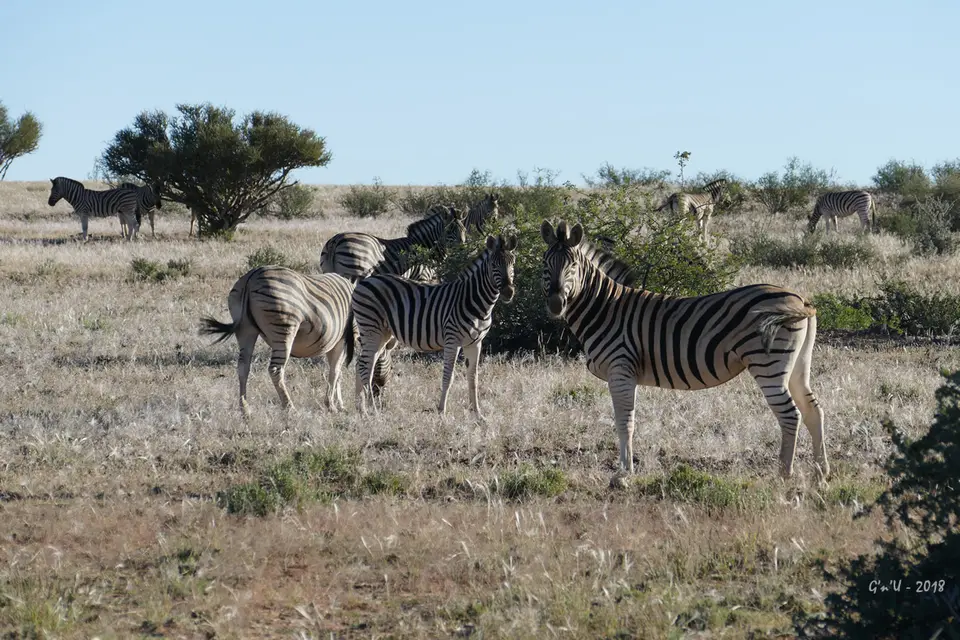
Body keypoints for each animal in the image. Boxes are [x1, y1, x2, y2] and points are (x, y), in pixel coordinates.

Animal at [199, 266, 356, 416]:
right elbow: (336, 371)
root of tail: (251, 277)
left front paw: (338, 404)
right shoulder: (342, 339)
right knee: (275, 370)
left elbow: (337, 372)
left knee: (243, 367)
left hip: (245, 330)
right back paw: (290, 408)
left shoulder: (336, 341)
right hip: (284, 329)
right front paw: (332, 405)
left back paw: (245, 409)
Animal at [319, 205, 467, 282]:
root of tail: (336, 240)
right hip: (354, 272)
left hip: (328, 272)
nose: (463, 249)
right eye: (449, 231)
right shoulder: (422, 277)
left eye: (464, 230)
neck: (426, 246)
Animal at [352, 234, 518, 418]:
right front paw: (442, 412)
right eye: (494, 265)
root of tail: (365, 281)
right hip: (371, 328)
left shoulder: (475, 343)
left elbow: (473, 378)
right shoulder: (452, 340)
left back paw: (361, 409)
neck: (476, 302)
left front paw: (478, 414)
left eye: (513, 263)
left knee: (362, 364)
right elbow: (448, 376)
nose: (508, 292)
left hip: (382, 333)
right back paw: (372, 411)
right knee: (364, 366)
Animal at [540, 219, 828, 482]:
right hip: (798, 364)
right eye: (545, 265)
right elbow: (626, 421)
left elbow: (625, 423)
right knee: (813, 410)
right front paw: (626, 469)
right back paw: (820, 472)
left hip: (768, 365)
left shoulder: (620, 369)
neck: (605, 308)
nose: (555, 305)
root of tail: (801, 300)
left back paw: (784, 474)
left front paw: (623, 474)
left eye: (573, 266)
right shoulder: (627, 374)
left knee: (790, 415)